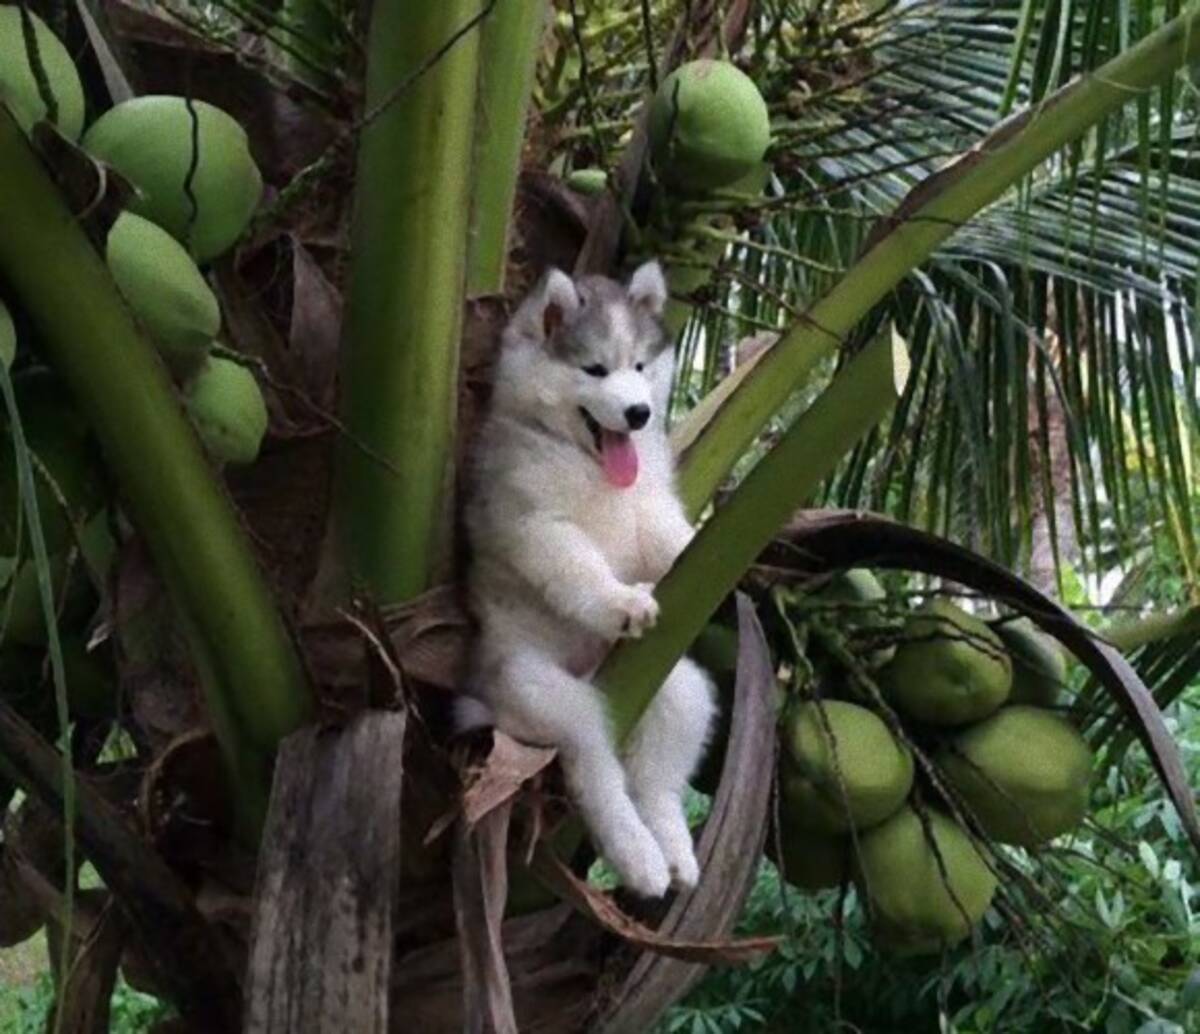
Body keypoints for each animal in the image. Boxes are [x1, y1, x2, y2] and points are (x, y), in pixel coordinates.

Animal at [463, 262, 715, 902]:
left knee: (657, 776)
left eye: (640, 367)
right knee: (594, 765)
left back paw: (673, 850)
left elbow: (670, 541)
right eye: (595, 369)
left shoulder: (649, 510)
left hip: (679, 688)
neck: (588, 464)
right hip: (538, 691)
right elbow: (577, 565)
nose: (639, 414)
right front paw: (620, 599)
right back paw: (638, 855)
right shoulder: (535, 523)